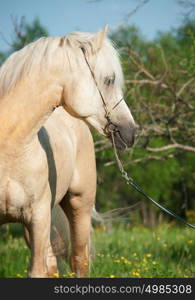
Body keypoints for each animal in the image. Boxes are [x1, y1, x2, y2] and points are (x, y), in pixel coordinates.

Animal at [0, 26, 136, 276]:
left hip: (78, 207)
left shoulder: (38, 217)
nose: (131, 132)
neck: (10, 149)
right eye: (109, 80)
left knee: (79, 261)